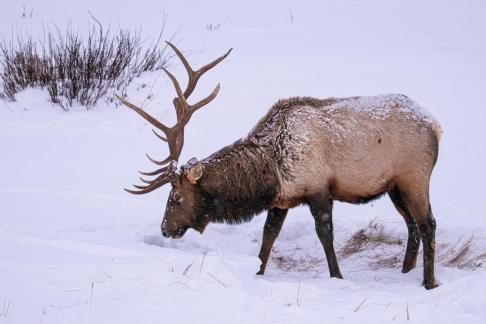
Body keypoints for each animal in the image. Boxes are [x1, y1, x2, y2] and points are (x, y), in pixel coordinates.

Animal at [116, 42, 442, 288]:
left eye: (176, 197)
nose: (164, 229)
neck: (268, 170)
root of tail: (436, 126)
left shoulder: (318, 189)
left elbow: (325, 234)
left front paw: (337, 276)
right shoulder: (282, 199)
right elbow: (268, 237)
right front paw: (257, 272)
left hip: (414, 176)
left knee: (427, 223)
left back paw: (427, 282)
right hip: (394, 186)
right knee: (411, 224)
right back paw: (405, 271)